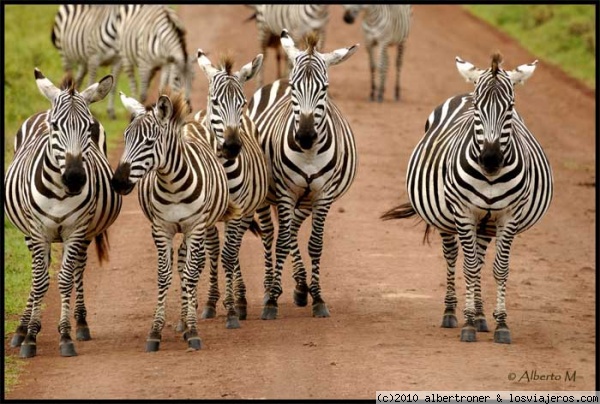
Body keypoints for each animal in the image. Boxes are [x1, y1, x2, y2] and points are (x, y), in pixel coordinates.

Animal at [4, 68, 122, 358]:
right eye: (56, 127)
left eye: (89, 128)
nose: (75, 177)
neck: (59, 192)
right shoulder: (37, 232)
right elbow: (39, 281)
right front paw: (30, 337)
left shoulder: (76, 231)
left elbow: (66, 279)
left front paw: (66, 335)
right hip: (29, 233)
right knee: (40, 271)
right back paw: (22, 328)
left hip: (85, 234)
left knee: (79, 268)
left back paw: (80, 322)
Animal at [111, 90, 233, 352]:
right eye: (125, 138)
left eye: (149, 142)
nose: (118, 182)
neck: (172, 184)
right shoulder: (160, 229)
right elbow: (164, 275)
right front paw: (156, 331)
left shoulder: (195, 227)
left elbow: (191, 273)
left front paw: (194, 330)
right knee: (182, 264)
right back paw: (183, 322)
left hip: (199, 227)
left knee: (194, 266)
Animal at [189, 49, 268, 328]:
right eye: (215, 102)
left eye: (242, 102)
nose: (233, 146)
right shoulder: (207, 216)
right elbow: (214, 254)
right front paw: (212, 303)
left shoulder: (240, 211)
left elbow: (229, 255)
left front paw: (233, 310)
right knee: (218, 250)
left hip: (249, 210)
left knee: (235, 249)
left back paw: (242, 300)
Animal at [247, 30, 358, 320]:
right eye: (296, 89)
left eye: (324, 89)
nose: (306, 136)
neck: (308, 153)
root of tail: (278, 81)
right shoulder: (285, 192)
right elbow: (282, 241)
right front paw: (272, 301)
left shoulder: (323, 195)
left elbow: (314, 244)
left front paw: (317, 297)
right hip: (265, 194)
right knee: (272, 234)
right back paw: (269, 288)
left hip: (306, 198)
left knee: (293, 229)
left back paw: (299, 287)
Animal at [382, 52, 556, 344]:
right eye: (477, 107)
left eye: (510, 107)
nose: (491, 159)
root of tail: (464, 90)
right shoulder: (464, 212)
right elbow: (470, 267)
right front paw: (468, 324)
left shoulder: (508, 216)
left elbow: (499, 268)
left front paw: (500, 324)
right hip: (447, 217)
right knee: (454, 256)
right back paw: (452, 312)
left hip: (486, 223)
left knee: (481, 258)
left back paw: (482, 315)